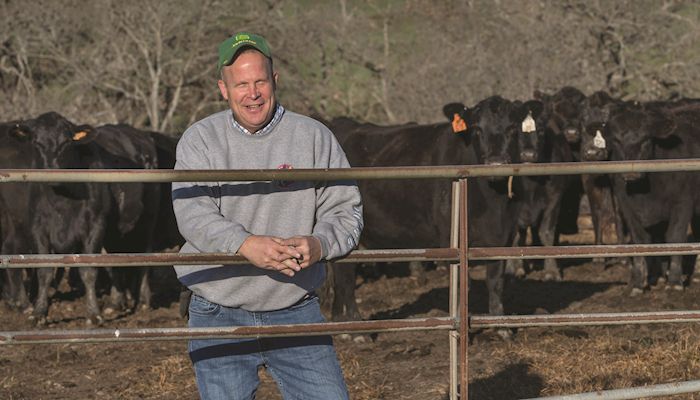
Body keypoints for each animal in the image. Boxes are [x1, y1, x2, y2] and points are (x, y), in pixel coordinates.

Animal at [328, 96, 524, 328]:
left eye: (513, 128)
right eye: (477, 128)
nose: (496, 162)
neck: (495, 205)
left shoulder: (504, 237)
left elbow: (495, 283)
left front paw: (501, 326)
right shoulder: (450, 239)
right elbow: (461, 285)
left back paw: (338, 322)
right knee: (346, 278)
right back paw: (354, 326)